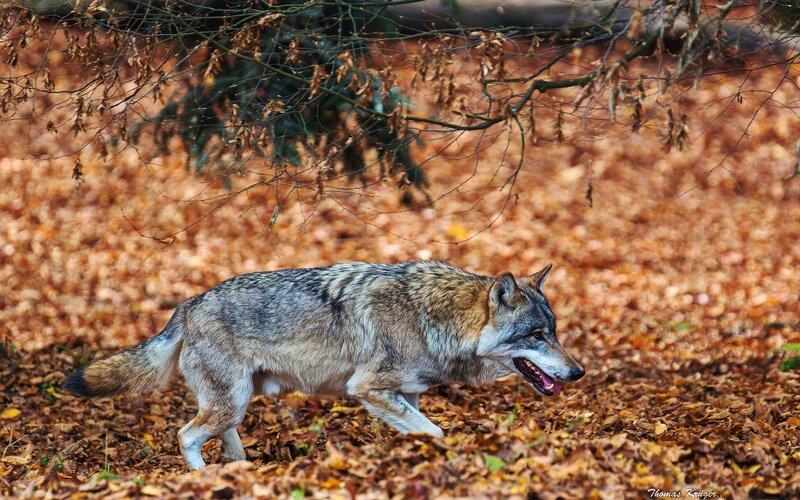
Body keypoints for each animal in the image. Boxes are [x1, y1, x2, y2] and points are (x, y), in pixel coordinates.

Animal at [64, 261, 584, 469]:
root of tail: (188, 305)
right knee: (186, 435)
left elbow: (419, 429)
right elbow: (435, 431)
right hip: (229, 402)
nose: (578, 373)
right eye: (536, 336)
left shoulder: (405, 394)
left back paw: (239, 470)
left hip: (236, 402)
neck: (432, 317)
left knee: (222, 438)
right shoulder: (367, 388)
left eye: (554, 331)